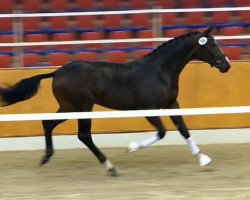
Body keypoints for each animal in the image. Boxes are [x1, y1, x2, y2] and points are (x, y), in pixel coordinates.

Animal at [0, 27, 230, 175]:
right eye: (211, 44)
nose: (226, 65)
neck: (159, 71)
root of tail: (57, 72)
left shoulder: (171, 104)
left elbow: (183, 129)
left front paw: (203, 158)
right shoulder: (148, 108)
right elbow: (162, 132)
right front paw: (132, 147)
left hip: (68, 107)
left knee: (48, 124)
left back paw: (46, 158)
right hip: (83, 107)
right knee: (84, 135)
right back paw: (110, 167)